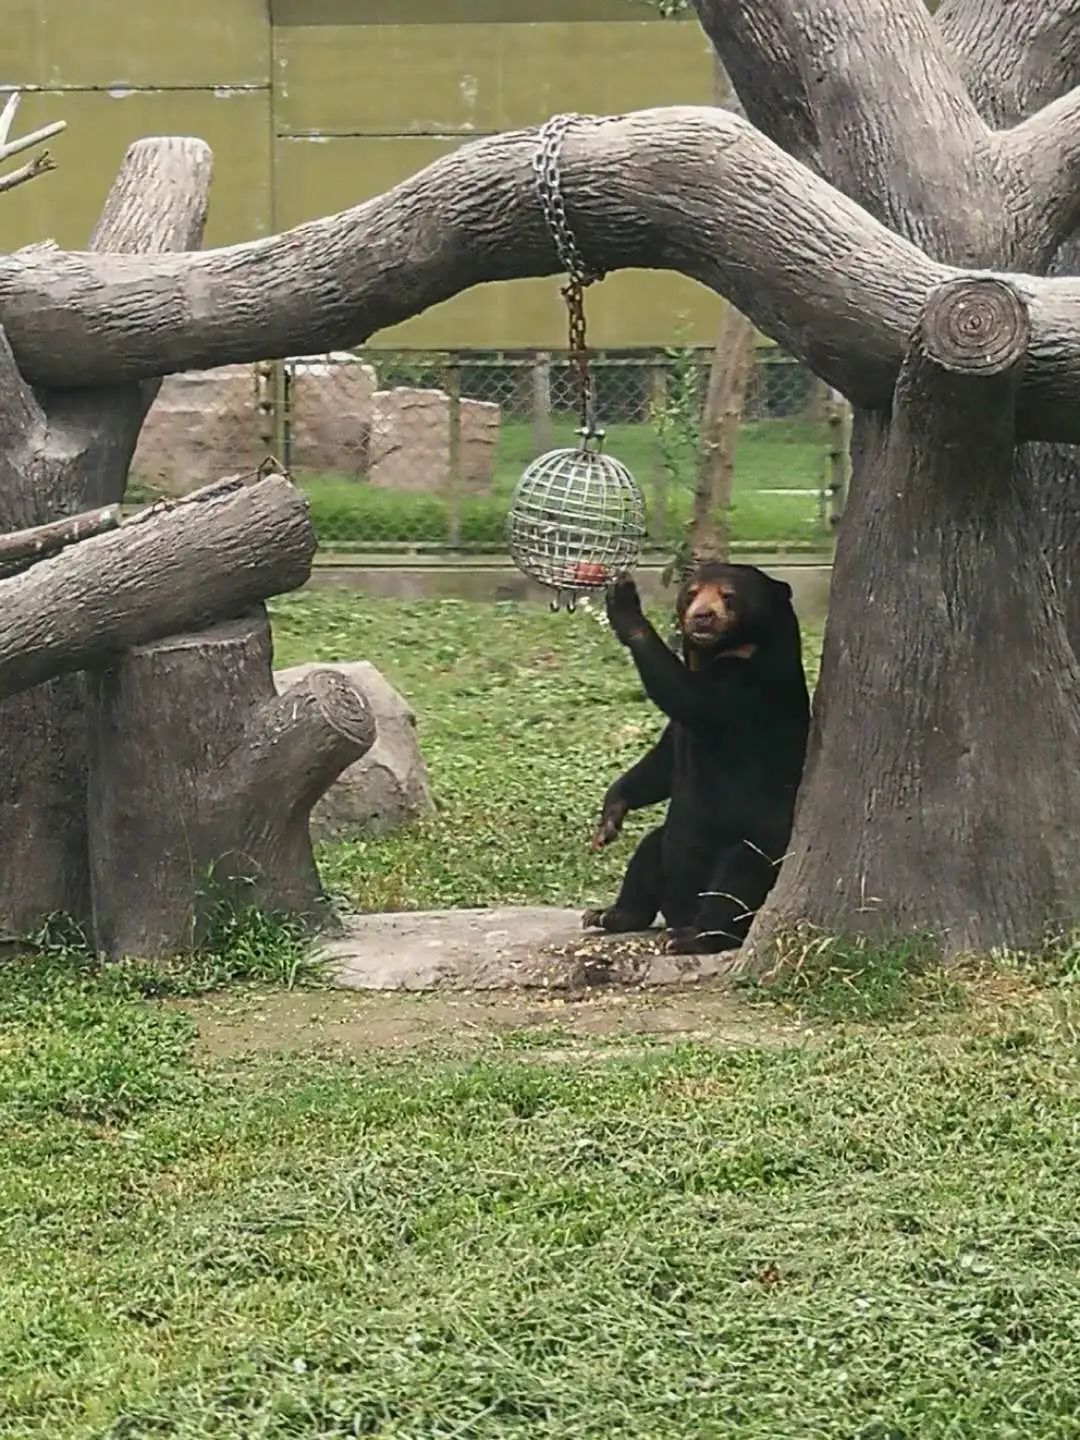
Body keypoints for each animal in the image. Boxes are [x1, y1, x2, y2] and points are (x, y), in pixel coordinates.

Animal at [582, 561, 810, 954]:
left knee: (737, 879)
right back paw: (610, 915)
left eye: (728, 596)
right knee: (647, 853)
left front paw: (625, 604)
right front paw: (610, 816)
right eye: (691, 593)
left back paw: (694, 936)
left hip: (760, 842)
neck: (725, 652)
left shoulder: (749, 691)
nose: (702, 617)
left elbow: (688, 697)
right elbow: (664, 761)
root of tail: (679, 910)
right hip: (669, 848)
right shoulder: (683, 731)